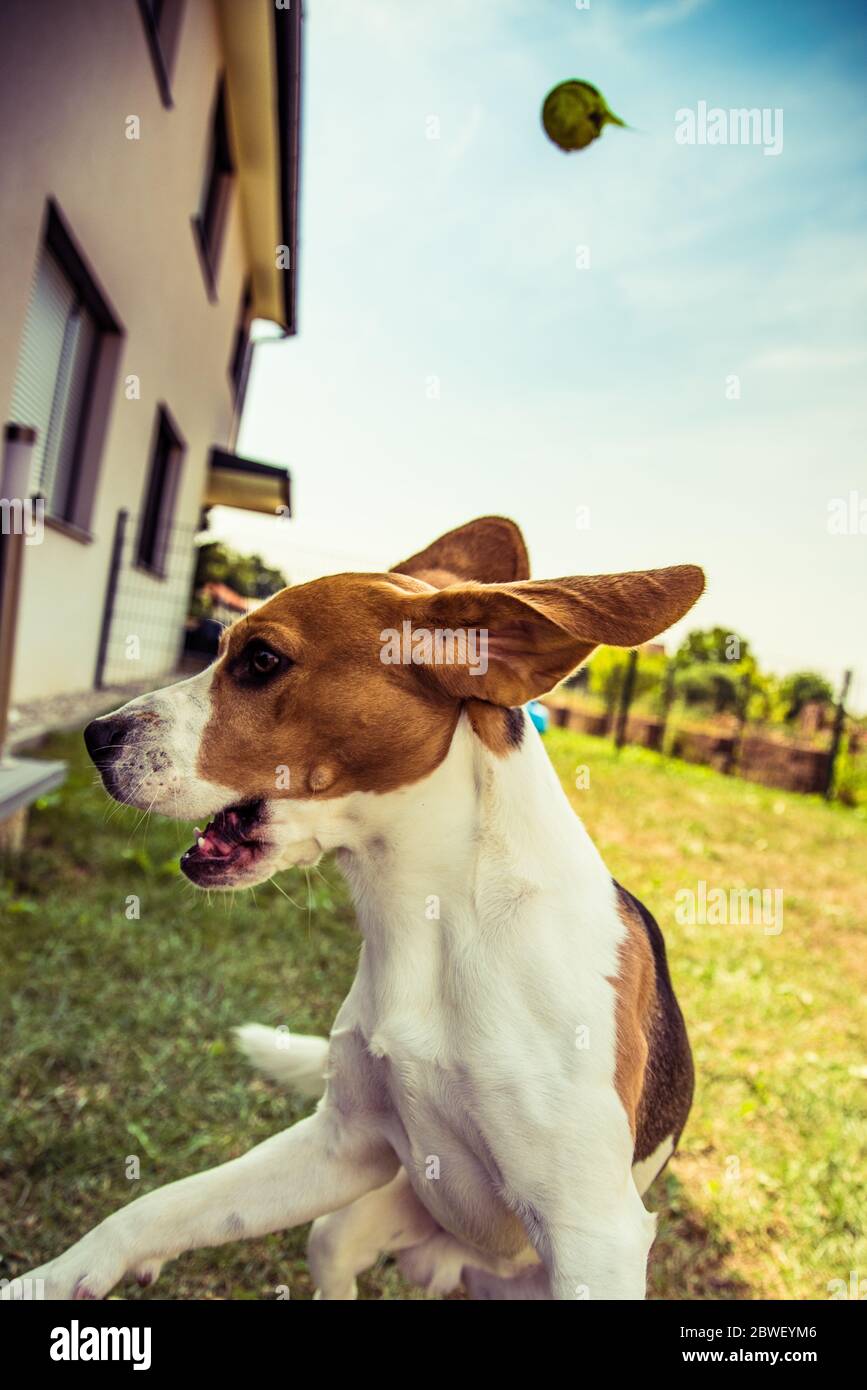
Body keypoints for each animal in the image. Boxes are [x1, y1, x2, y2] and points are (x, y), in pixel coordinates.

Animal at [11, 517, 705, 1295]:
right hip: (348, 1225)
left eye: (261, 659)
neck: (438, 917)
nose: (95, 736)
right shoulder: (346, 1145)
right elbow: (154, 1209)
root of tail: (460, 1265)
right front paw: (52, 1277)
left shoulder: (594, 1238)